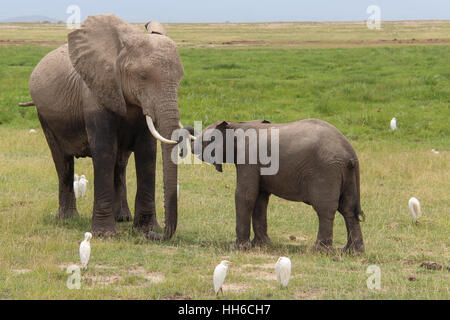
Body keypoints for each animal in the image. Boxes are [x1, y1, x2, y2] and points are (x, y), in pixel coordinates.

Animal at [28, 15, 186, 239]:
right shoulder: (95, 92)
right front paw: (104, 234)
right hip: (45, 116)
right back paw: (67, 219)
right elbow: (104, 151)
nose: (155, 235)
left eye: (180, 78)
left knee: (119, 165)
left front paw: (144, 229)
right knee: (62, 161)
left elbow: (147, 153)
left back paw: (122, 218)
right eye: (142, 76)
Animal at [185, 117, 364, 252]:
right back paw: (352, 251)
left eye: (205, 140)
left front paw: (238, 248)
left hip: (326, 171)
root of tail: (350, 154)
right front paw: (261, 244)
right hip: (346, 174)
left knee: (325, 209)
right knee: (348, 209)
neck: (236, 124)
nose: (191, 146)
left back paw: (319, 251)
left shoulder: (248, 158)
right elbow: (260, 199)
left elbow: (245, 195)